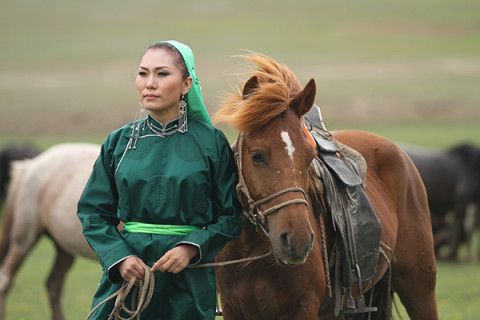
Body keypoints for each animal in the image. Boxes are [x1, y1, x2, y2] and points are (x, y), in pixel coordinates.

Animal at [214, 53, 438, 318]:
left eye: (310, 156)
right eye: (257, 156)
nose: (298, 241)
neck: (252, 253)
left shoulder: (303, 309)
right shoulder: (232, 308)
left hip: (419, 288)